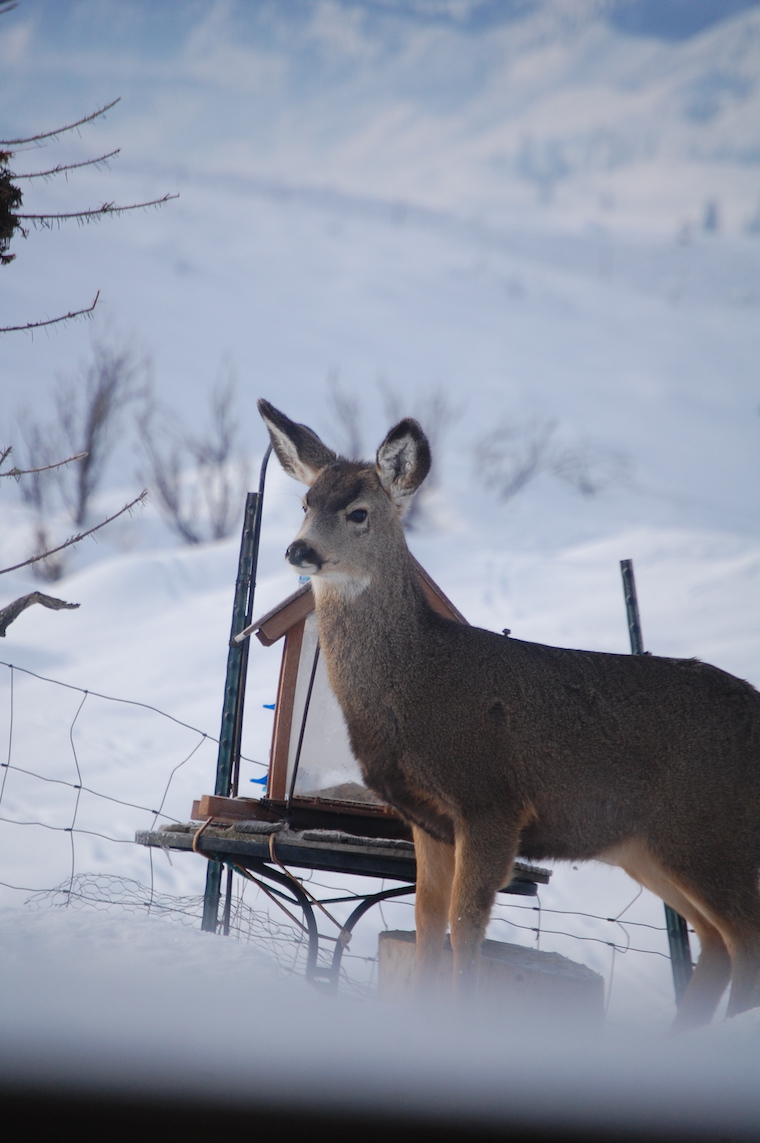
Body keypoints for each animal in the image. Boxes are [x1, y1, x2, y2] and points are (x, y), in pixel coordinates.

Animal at [258, 398, 760, 1030]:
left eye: (358, 512)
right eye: (304, 502)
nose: (298, 550)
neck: (420, 684)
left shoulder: (492, 800)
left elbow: (467, 925)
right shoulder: (427, 818)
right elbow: (426, 922)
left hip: (712, 829)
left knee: (745, 940)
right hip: (647, 846)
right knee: (716, 941)